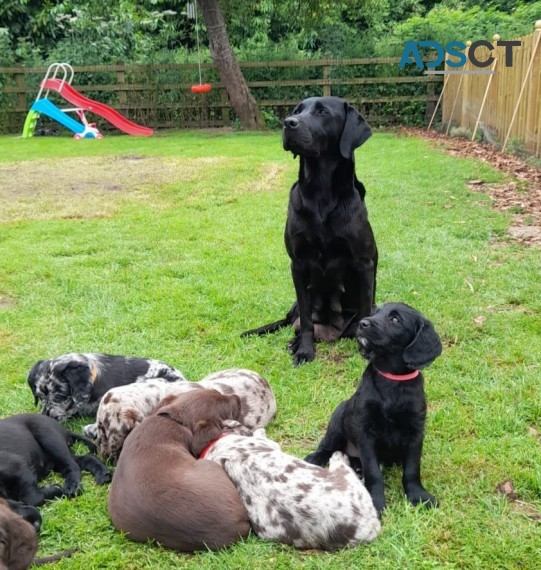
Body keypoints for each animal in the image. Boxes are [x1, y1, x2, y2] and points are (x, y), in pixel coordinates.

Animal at [243, 96, 378, 364]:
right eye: (297, 110)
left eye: (322, 112)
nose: (288, 123)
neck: (320, 192)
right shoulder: (298, 264)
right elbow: (306, 320)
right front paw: (305, 350)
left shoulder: (364, 264)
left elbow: (363, 313)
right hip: (294, 304)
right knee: (294, 322)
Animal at [306, 302, 440, 516]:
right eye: (375, 312)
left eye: (395, 319)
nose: (362, 323)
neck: (391, 380)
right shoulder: (366, 431)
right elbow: (373, 472)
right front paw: (375, 502)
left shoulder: (415, 430)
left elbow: (412, 468)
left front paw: (418, 495)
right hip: (338, 418)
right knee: (327, 446)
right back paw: (315, 458)